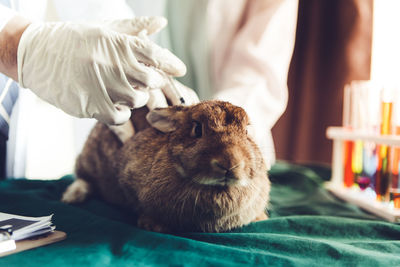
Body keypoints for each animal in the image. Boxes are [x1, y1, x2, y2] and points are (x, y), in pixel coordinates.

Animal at [61, 101, 268, 233]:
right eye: (197, 129)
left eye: (247, 131)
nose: (230, 163)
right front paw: (152, 225)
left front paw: (261, 218)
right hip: (87, 159)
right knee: (83, 177)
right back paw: (72, 197)